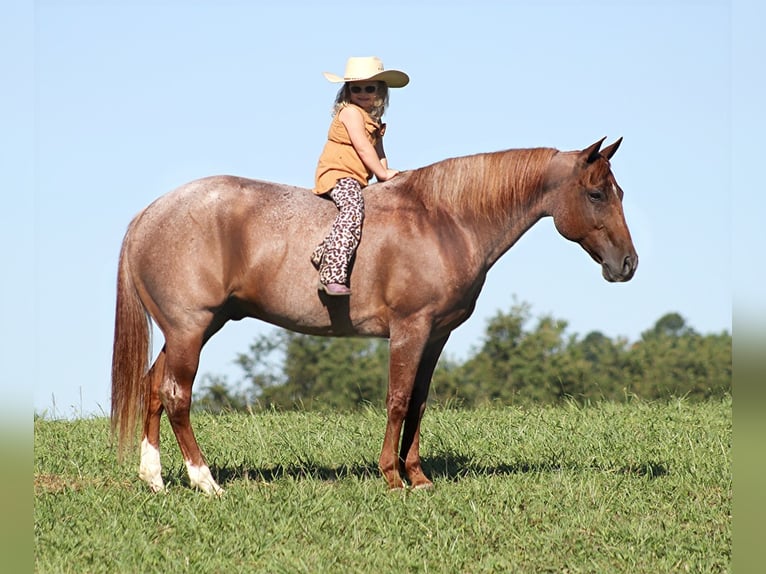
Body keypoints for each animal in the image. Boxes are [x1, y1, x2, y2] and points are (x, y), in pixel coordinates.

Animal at [109, 136, 636, 496]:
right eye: (596, 194)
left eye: (620, 192)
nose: (627, 264)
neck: (444, 220)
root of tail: (150, 214)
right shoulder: (409, 329)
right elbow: (398, 400)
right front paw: (392, 476)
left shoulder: (436, 337)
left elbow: (419, 403)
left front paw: (418, 476)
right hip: (190, 329)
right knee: (176, 396)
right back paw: (206, 482)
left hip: (192, 330)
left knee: (153, 388)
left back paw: (154, 478)